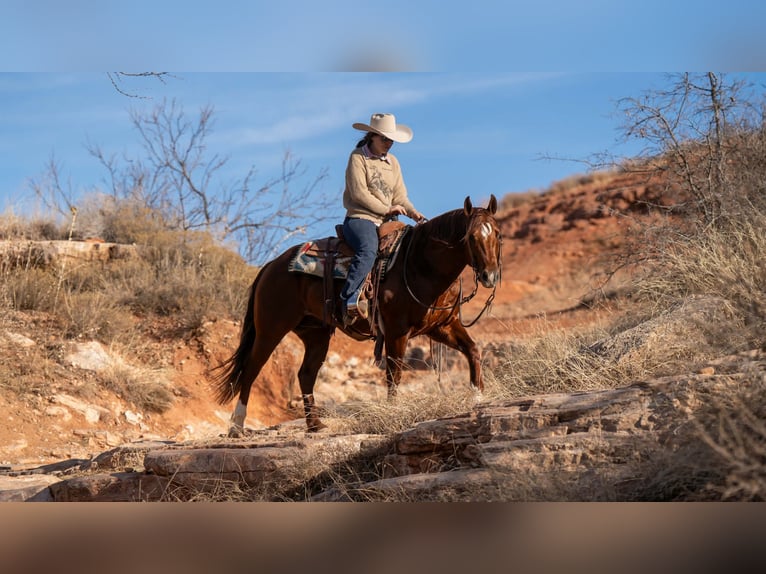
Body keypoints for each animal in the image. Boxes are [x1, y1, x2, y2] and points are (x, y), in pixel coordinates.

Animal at [212, 195, 502, 434]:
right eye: (471, 237)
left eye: (497, 235)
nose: (489, 276)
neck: (420, 265)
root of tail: (272, 265)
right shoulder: (396, 331)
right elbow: (394, 375)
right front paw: (393, 414)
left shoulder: (442, 326)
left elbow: (473, 350)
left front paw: (478, 399)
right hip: (271, 329)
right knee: (252, 369)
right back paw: (236, 426)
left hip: (315, 334)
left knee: (305, 374)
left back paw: (315, 425)